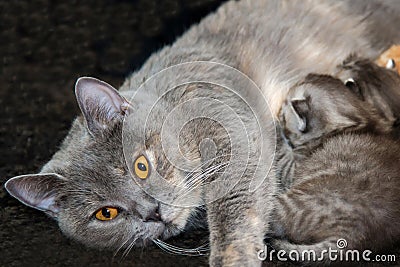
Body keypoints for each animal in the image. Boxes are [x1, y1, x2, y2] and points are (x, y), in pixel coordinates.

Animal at [3, 0, 400, 266]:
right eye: (106, 214)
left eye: (141, 166)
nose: (153, 211)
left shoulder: (241, 137)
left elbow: (236, 212)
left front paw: (233, 258)